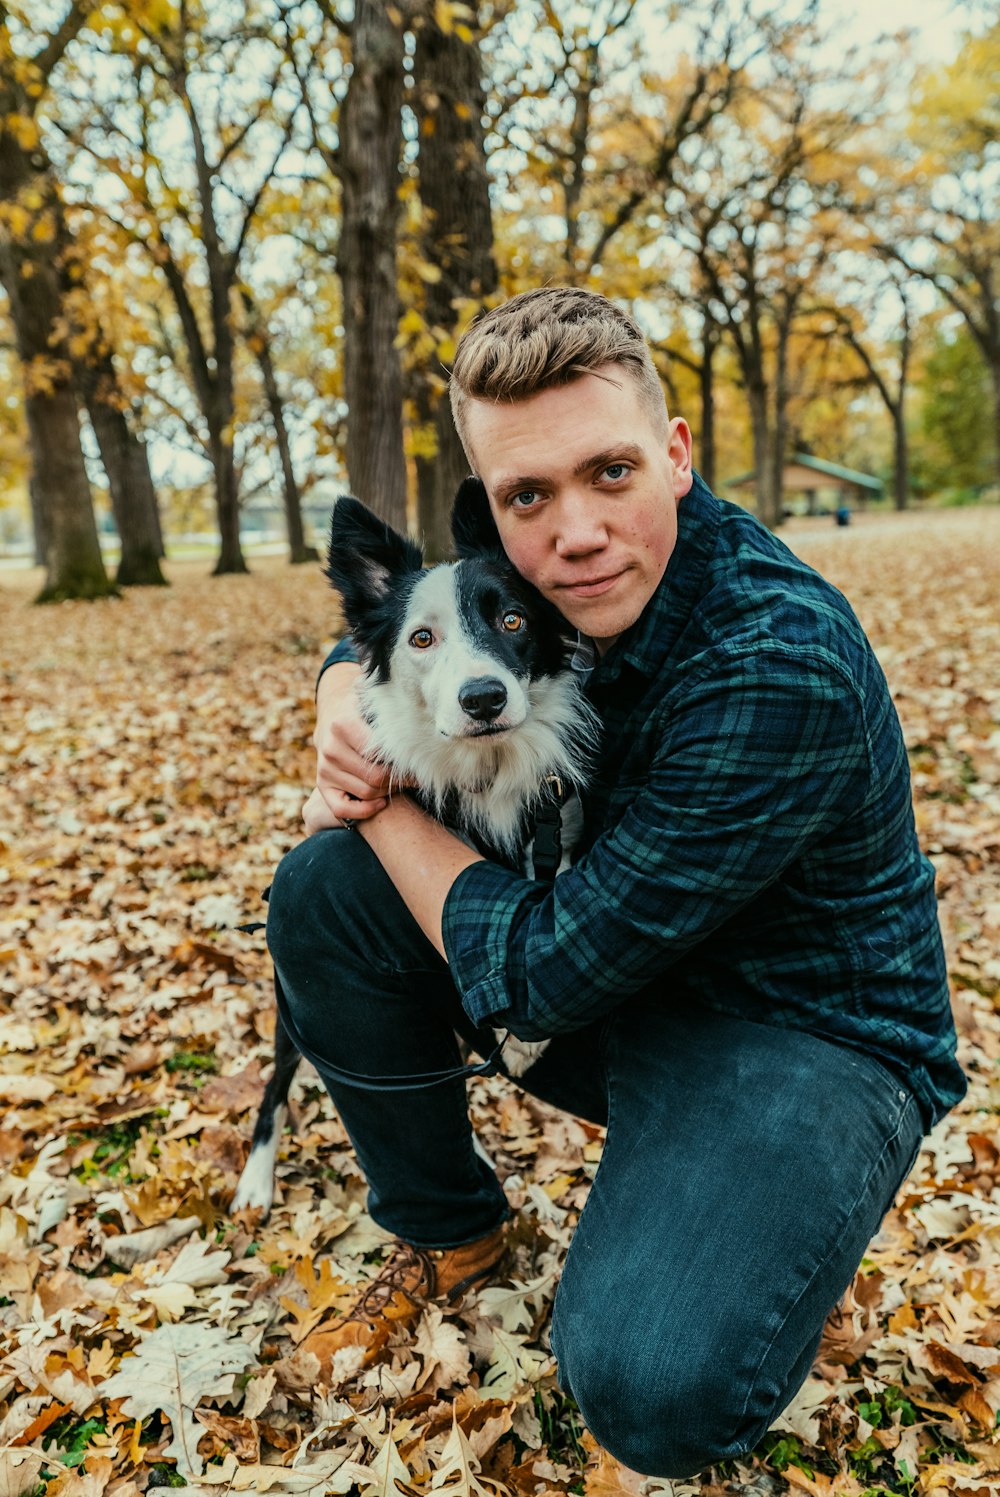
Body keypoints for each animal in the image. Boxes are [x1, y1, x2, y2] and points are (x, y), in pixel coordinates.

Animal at [230, 479, 598, 1215]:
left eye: (512, 620)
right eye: (421, 638)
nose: (483, 698)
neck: (485, 767)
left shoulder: (557, 831)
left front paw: (524, 1044)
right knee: (277, 1085)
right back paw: (256, 1179)